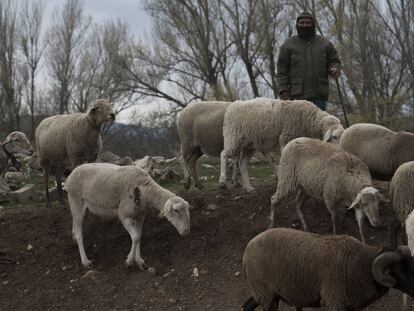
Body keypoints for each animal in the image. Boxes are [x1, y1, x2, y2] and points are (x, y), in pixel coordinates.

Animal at [243, 228, 414, 310]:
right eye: (400, 270)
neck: (360, 265)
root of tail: (248, 247)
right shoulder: (335, 302)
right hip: (266, 294)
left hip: (263, 291)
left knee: (247, 305)